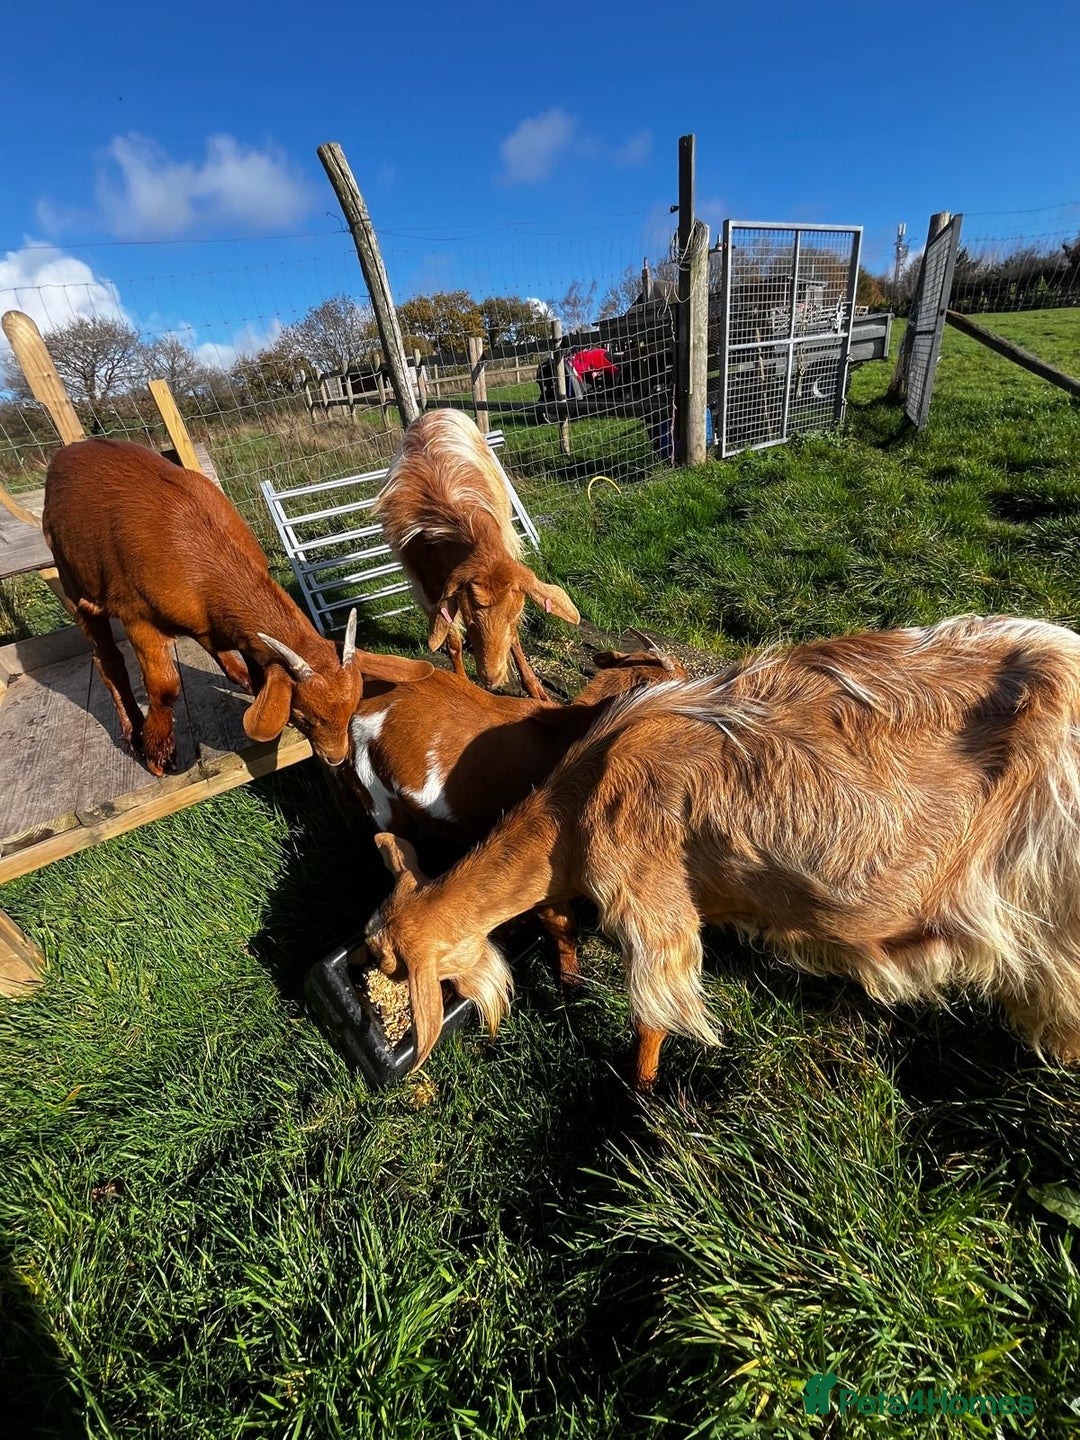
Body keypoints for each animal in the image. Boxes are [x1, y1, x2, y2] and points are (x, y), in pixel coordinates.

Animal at [43, 438, 433, 774]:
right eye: (304, 716)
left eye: (353, 708)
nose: (336, 758)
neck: (201, 559)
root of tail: (70, 450)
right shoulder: (137, 615)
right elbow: (164, 685)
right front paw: (158, 753)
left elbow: (254, 661)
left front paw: (253, 688)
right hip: (69, 573)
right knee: (105, 656)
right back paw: (132, 730)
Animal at [375, 408, 580, 700]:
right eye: (470, 619)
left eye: (514, 616)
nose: (492, 678)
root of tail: (435, 410)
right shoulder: (429, 586)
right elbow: (451, 639)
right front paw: (461, 686)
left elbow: (514, 638)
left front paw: (534, 687)